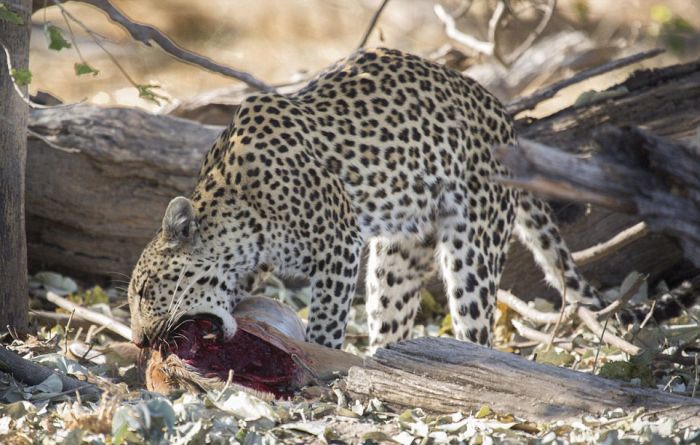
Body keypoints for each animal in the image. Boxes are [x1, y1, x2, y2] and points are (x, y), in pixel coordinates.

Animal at [127, 46, 608, 350]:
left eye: (146, 290)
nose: (139, 340)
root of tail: (506, 119)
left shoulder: (338, 243)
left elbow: (325, 321)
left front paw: (319, 358)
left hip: (473, 247)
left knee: (477, 325)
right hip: (397, 257)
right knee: (392, 322)